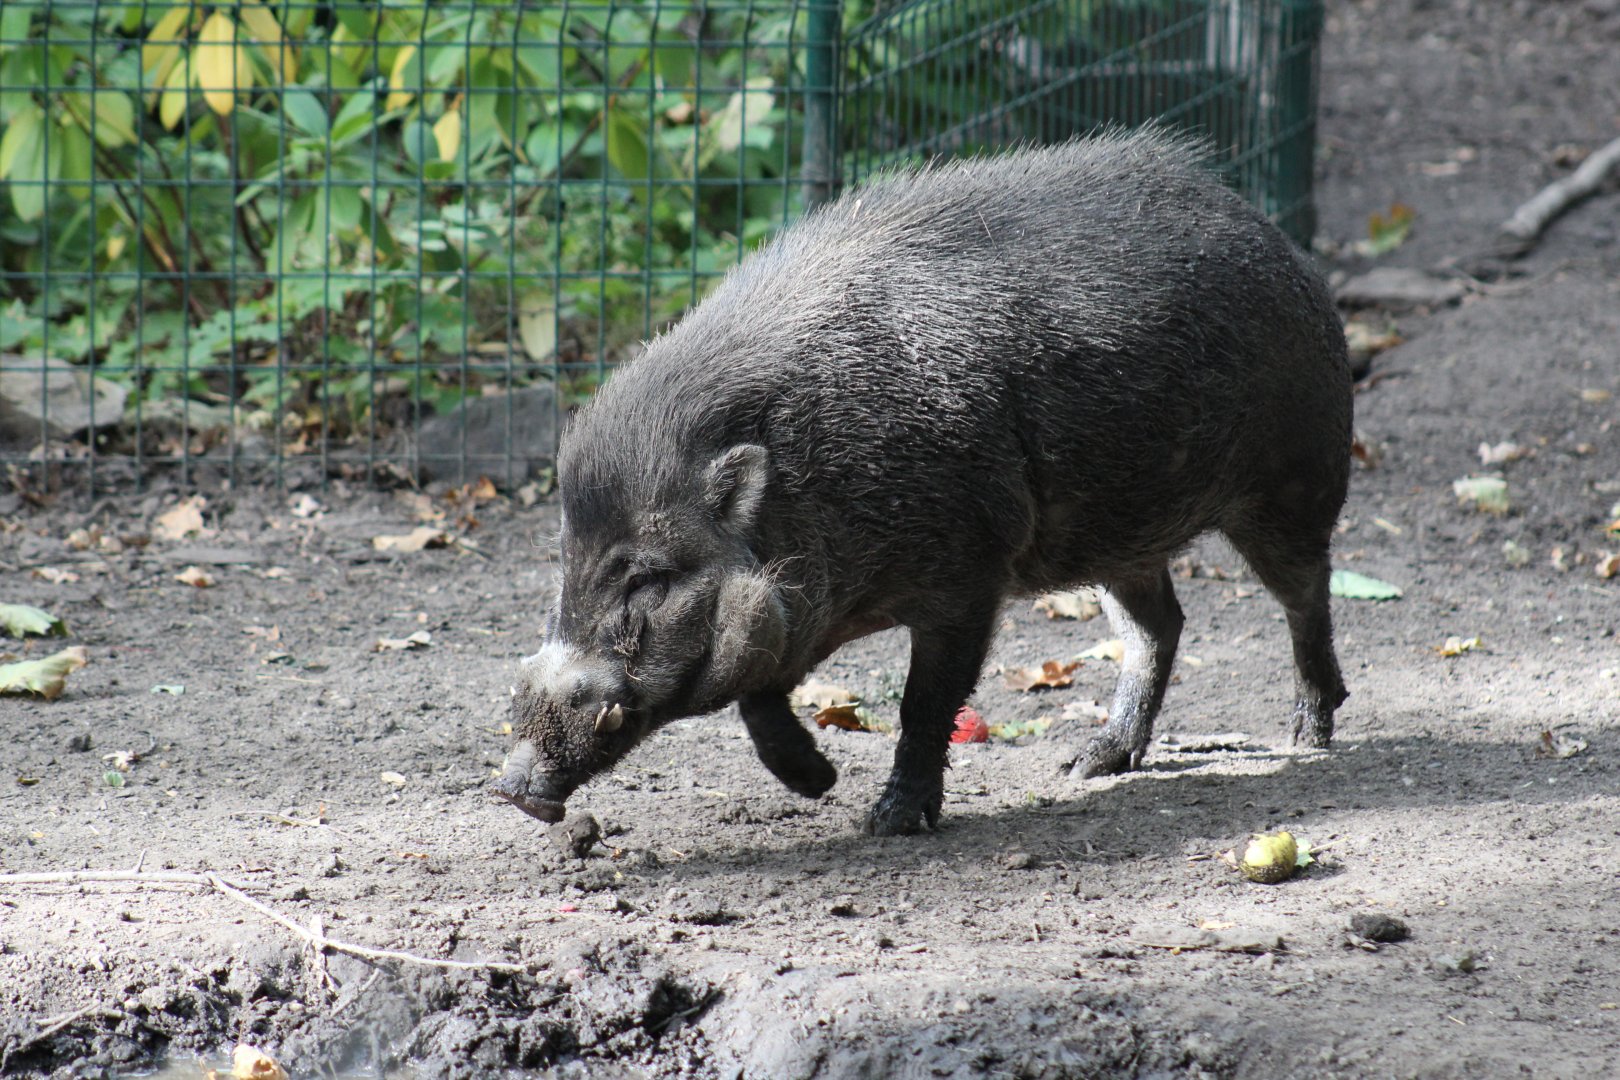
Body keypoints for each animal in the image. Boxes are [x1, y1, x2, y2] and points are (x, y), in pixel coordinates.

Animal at [494, 127, 1351, 837]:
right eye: (564, 565)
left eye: (647, 577)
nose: (512, 789)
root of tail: (1279, 243)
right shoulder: (797, 613)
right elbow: (758, 698)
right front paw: (818, 784)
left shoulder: (970, 575)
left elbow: (923, 703)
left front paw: (889, 822)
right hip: (1119, 537)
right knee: (1159, 626)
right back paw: (1088, 764)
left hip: (1294, 480)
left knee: (1304, 596)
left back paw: (1310, 737)